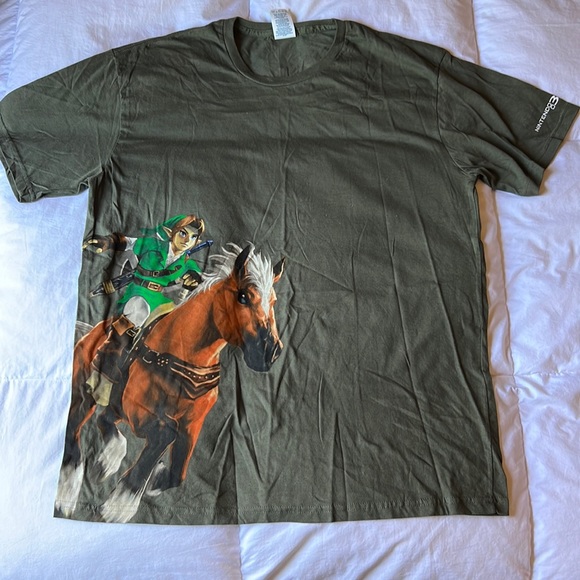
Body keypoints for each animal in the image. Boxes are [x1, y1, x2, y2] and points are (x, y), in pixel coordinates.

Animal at [55, 243, 285, 523]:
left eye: (273, 302)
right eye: (243, 296)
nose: (270, 352)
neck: (181, 355)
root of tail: (90, 333)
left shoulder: (192, 426)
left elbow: (178, 473)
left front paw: (152, 480)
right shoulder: (140, 414)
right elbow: (165, 435)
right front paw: (120, 504)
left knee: (104, 420)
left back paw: (105, 461)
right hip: (84, 396)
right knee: (74, 436)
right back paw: (68, 493)